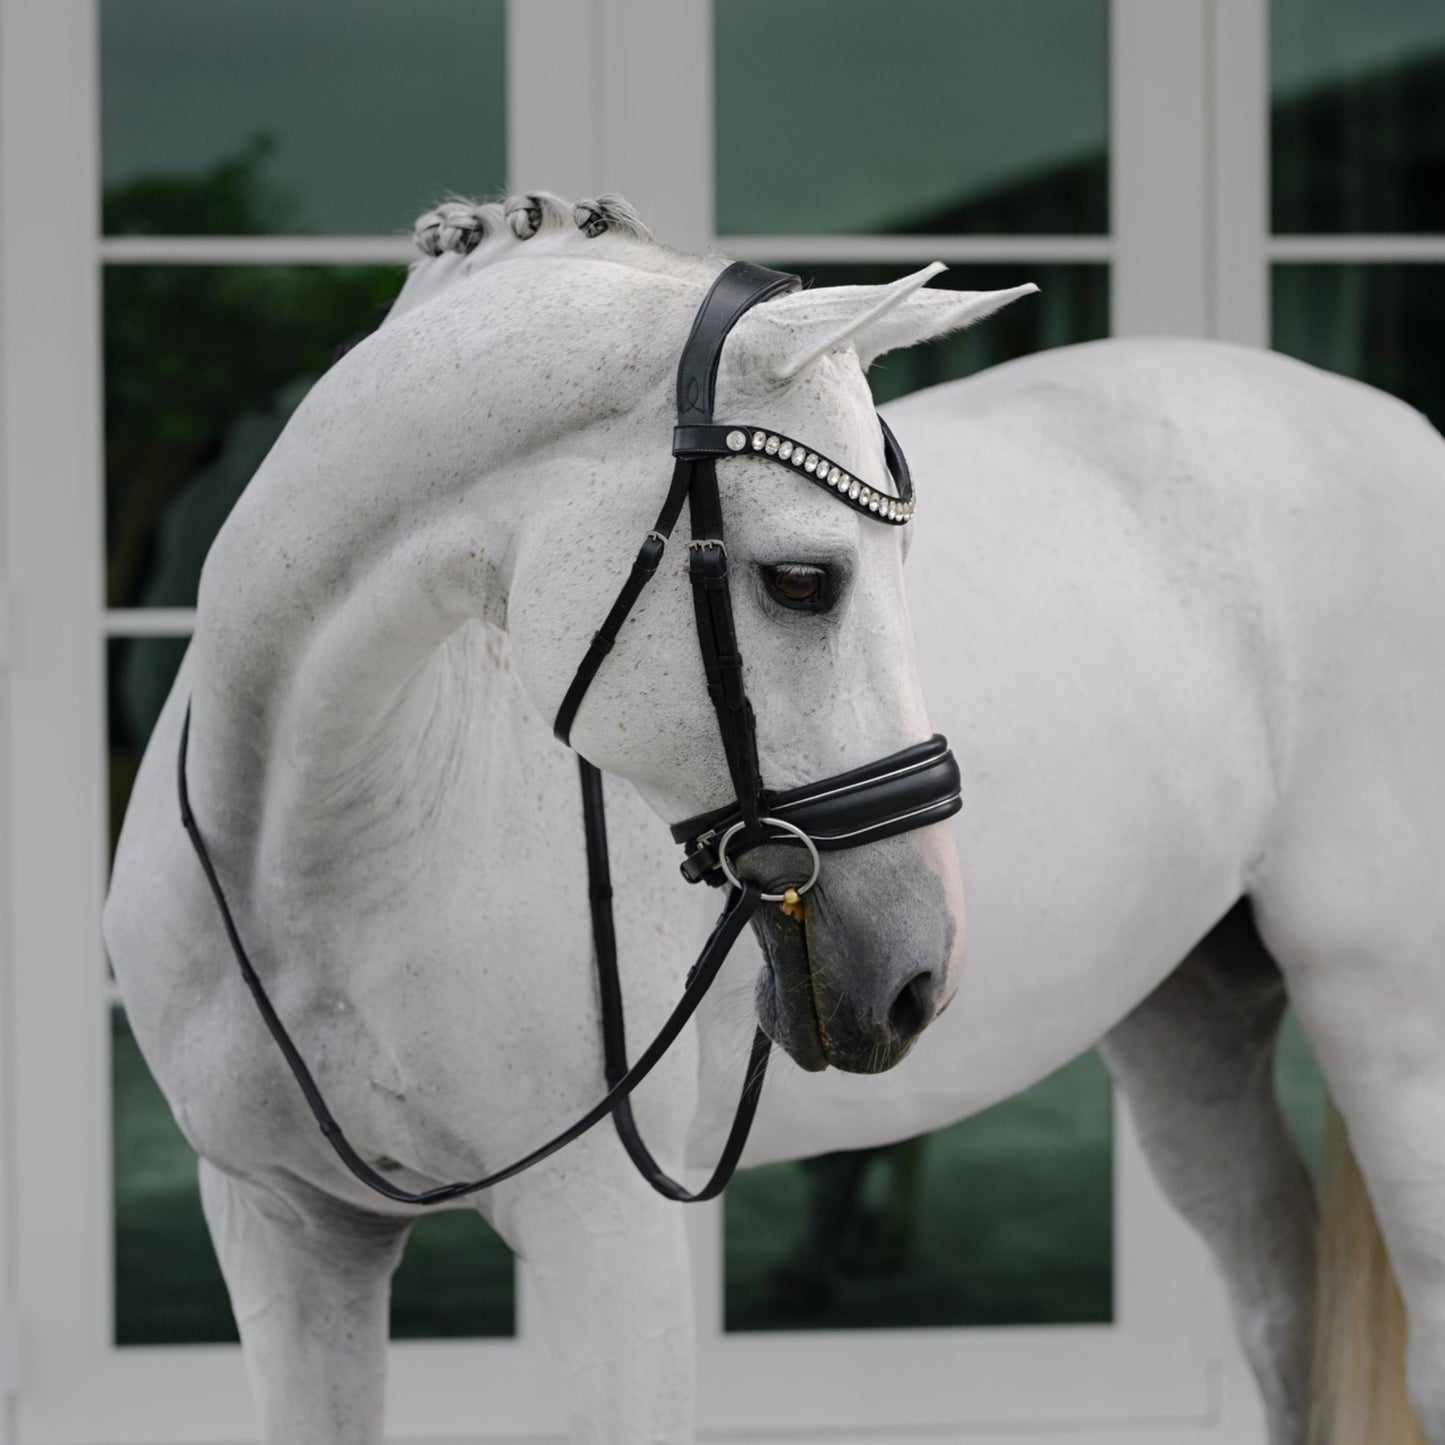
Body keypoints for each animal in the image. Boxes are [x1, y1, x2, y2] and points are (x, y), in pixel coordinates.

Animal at [104, 190, 1445, 1445]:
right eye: (803, 579)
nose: (915, 966)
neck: (314, 844)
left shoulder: (603, 1230)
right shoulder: (285, 1225)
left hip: (1387, 1019)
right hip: (1190, 1024)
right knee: (1279, 1299)